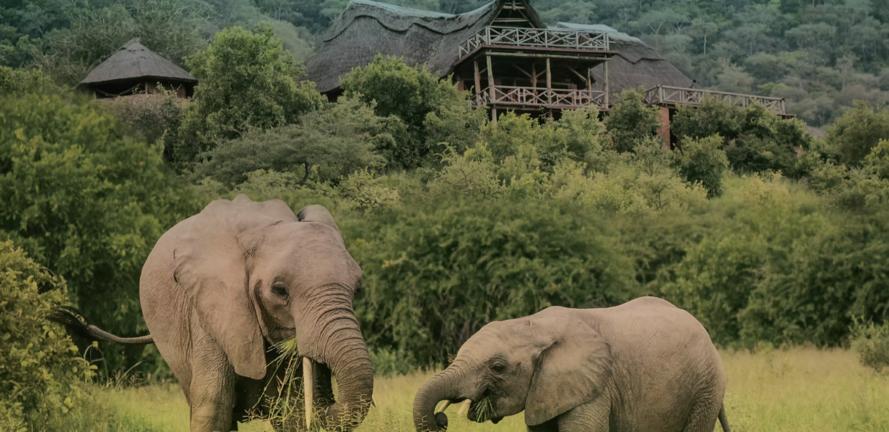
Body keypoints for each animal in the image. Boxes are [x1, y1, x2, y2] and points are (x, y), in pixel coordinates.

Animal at [62, 195, 374, 432]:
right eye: (280, 290)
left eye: (358, 289)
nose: (327, 401)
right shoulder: (209, 308)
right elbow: (214, 406)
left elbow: (293, 411)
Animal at [413, 296, 731, 432]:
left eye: (498, 367)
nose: (441, 420)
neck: (535, 325)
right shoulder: (545, 391)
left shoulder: (595, 390)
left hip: (705, 390)